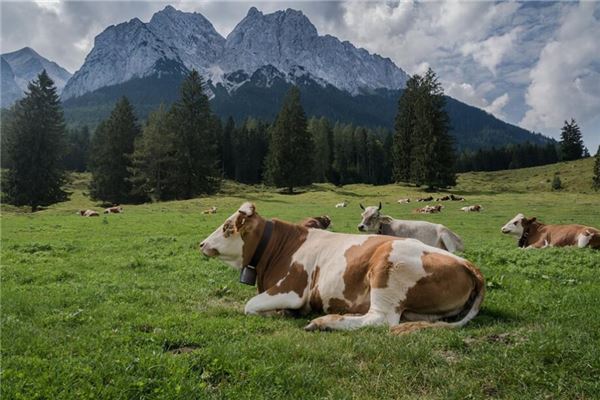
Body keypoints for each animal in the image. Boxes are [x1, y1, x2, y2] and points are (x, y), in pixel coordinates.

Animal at [199, 203, 486, 334]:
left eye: (227, 227)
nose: (202, 243)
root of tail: (468, 264)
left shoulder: (292, 290)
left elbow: (250, 306)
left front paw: (279, 313)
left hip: (387, 272)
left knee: (379, 319)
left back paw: (324, 322)